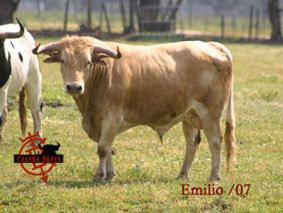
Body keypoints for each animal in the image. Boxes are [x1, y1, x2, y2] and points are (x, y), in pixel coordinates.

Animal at [33, 37, 237, 181]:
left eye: (88, 62)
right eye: (63, 61)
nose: (74, 87)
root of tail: (210, 44)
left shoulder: (111, 119)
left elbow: (103, 148)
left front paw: (100, 175)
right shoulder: (100, 123)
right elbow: (108, 147)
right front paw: (110, 174)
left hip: (210, 114)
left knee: (215, 142)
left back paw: (214, 176)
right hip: (189, 115)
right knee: (192, 143)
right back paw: (182, 174)